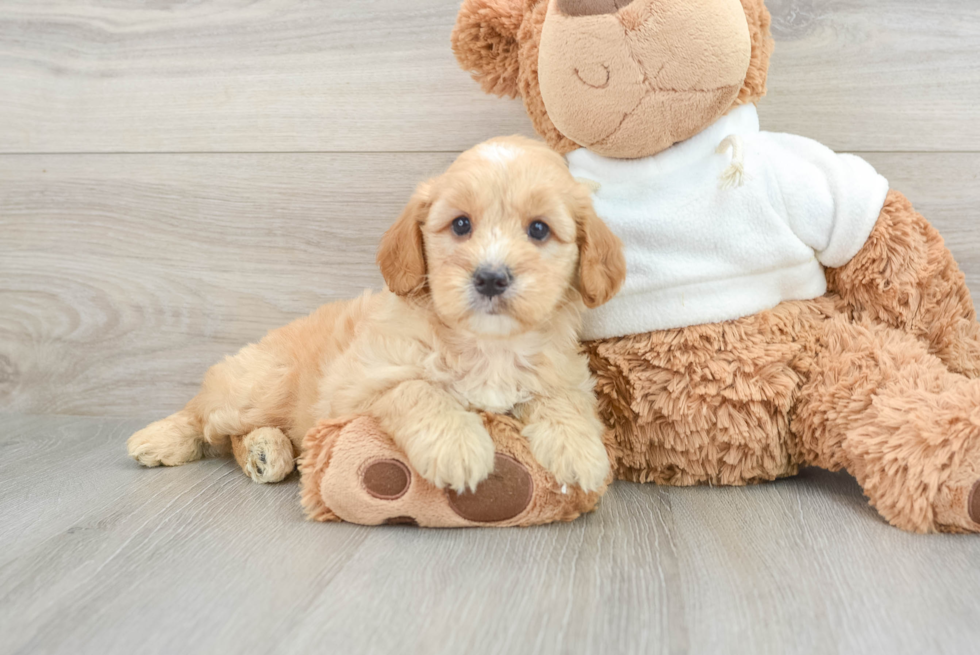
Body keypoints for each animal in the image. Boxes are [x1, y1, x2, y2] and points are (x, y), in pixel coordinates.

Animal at [126, 137, 628, 492]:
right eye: (461, 224)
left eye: (539, 229)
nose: (490, 278)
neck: (486, 344)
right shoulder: (361, 381)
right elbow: (418, 389)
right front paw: (457, 446)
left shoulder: (560, 373)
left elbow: (563, 401)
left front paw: (579, 451)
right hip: (261, 383)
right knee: (206, 417)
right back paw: (165, 439)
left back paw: (265, 450)